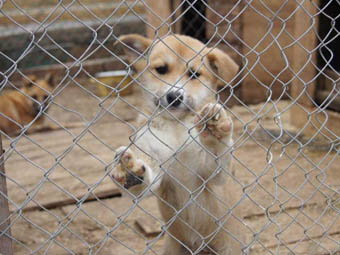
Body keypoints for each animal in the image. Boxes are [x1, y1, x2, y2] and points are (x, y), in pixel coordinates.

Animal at [111, 34, 244, 255]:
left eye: (194, 74)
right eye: (161, 69)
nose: (174, 96)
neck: (176, 127)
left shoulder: (212, 175)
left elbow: (216, 152)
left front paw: (215, 130)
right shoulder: (154, 165)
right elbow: (144, 179)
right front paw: (130, 172)